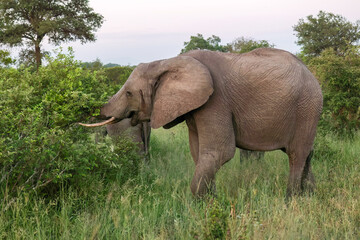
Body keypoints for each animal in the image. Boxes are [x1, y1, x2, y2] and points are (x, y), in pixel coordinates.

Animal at [81, 47, 324, 198]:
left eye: (129, 93)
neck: (167, 61)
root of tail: (311, 73)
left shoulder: (216, 101)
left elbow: (220, 152)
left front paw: (202, 205)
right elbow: (199, 153)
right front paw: (211, 202)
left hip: (307, 106)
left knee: (296, 154)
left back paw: (291, 200)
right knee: (307, 154)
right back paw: (309, 196)